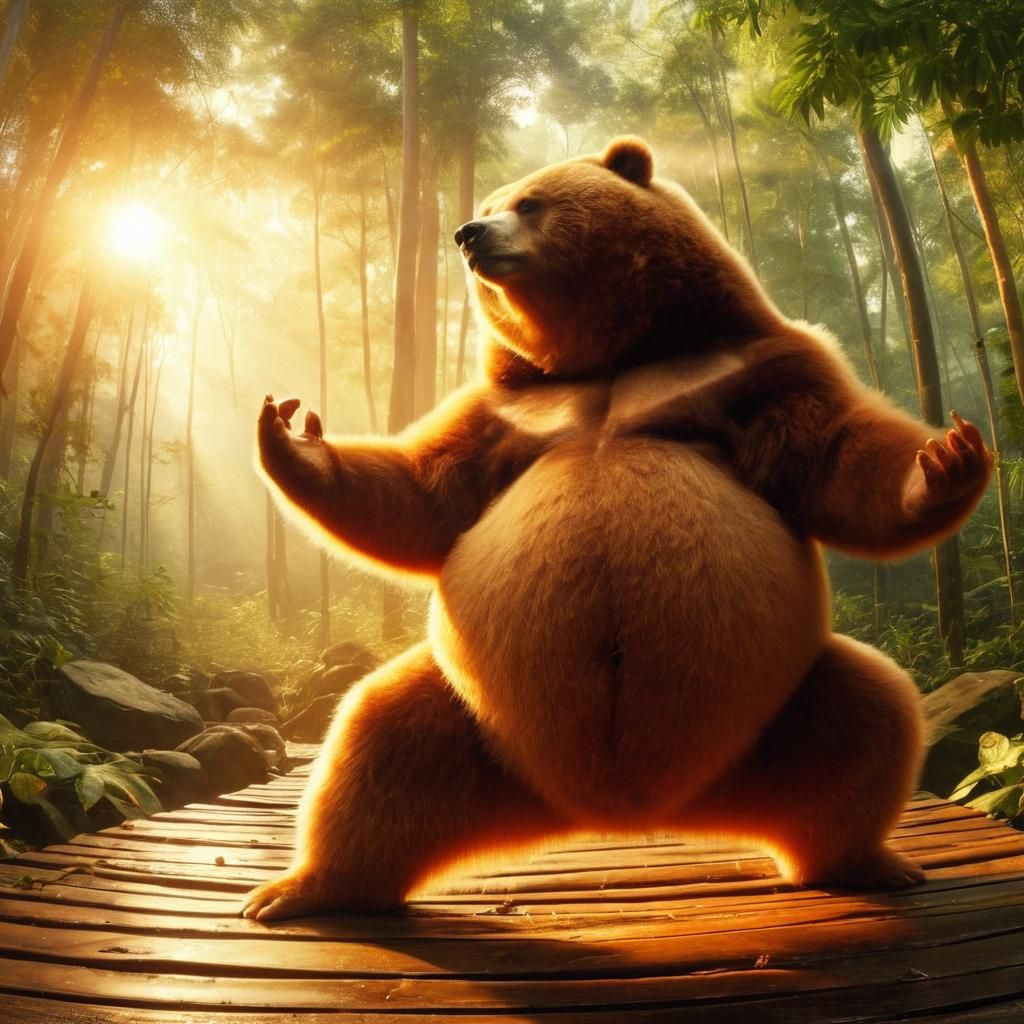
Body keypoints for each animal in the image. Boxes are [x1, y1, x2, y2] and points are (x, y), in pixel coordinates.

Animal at [242, 137, 991, 921]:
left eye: (528, 202)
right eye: (488, 205)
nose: (469, 235)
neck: (612, 357)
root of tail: (621, 809)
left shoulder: (760, 373)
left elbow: (838, 460)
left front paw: (946, 458)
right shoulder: (507, 414)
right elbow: (423, 494)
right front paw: (291, 433)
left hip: (780, 707)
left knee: (870, 720)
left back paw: (868, 861)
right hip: (473, 718)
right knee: (376, 744)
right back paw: (305, 887)